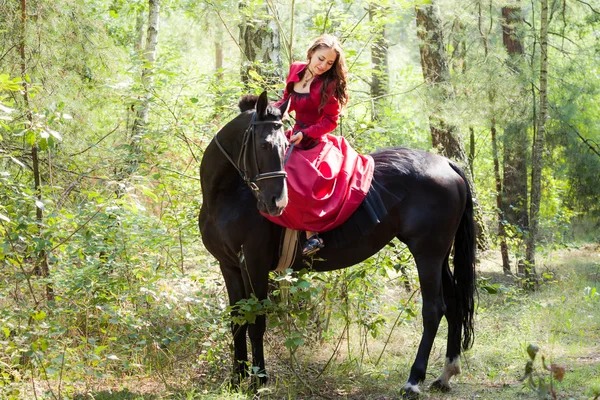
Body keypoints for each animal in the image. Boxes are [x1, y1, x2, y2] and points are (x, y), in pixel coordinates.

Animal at [199, 92, 476, 398]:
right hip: (440, 254)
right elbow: (236, 317)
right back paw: (445, 374)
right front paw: (236, 378)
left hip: (427, 253)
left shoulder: (255, 263)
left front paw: (259, 381)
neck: (227, 195)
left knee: (433, 309)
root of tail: (446, 163)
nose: (277, 202)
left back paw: (414, 380)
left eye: (284, 145)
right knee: (453, 303)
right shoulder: (229, 265)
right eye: (264, 145)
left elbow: (256, 320)